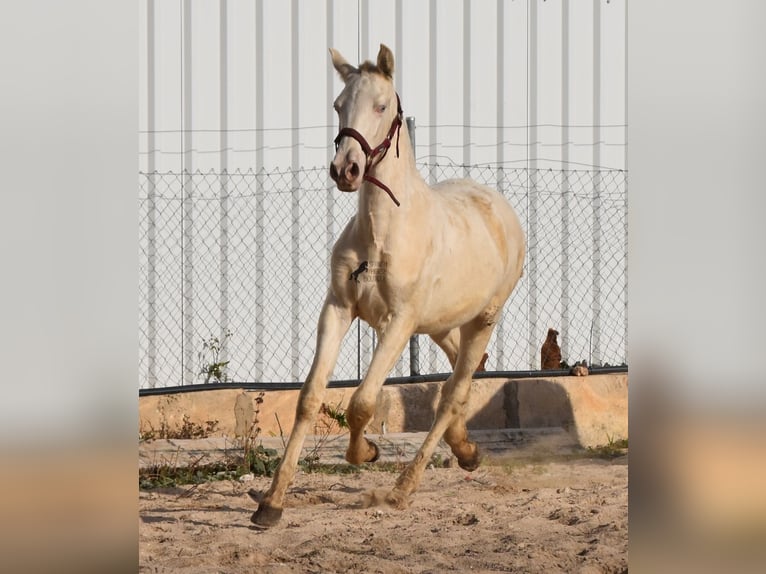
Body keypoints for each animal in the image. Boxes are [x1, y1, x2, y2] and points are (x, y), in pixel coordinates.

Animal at [252, 44, 528, 532]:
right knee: (459, 373)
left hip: (483, 319)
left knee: (452, 392)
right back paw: (466, 450)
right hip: (442, 323)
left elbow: (362, 402)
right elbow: (309, 398)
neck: (382, 233)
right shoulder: (338, 309)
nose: (345, 169)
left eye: (381, 106)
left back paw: (403, 489)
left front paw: (365, 453)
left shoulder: (398, 323)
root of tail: (501, 209)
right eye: (339, 105)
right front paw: (271, 503)